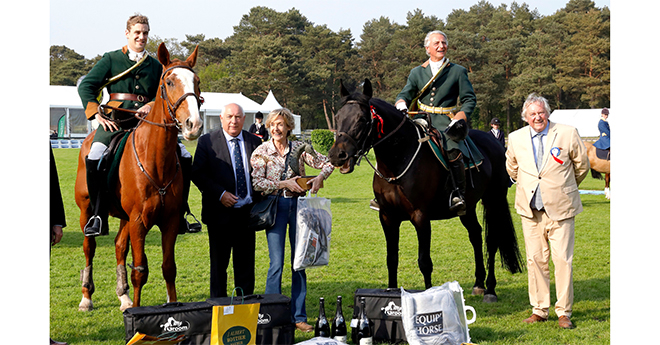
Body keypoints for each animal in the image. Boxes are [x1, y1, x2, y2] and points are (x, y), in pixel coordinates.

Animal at [75, 42, 204, 310]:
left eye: (196, 81)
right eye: (169, 82)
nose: (193, 125)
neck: (155, 160)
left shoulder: (169, 221)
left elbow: (168, 267)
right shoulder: (138, 222)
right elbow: (140, 270)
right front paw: (136, 312)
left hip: (124, 217)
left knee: (119, 246)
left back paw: (122, 295)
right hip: (87, 212)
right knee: (89, 247)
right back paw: (86, 297)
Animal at [328, 79, 524, 300]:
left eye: (361, 119)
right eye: (337, 117)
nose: (337, 155)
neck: (398, 160)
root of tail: (496, 143)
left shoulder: (420, 216)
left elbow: (424, 262)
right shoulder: (387, 217)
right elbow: (391, 258)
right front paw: (391, 292)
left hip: (493, 200)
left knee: (491, 240)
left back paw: (490, 289)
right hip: (468, 207)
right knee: (475, 234)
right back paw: (479, 283)